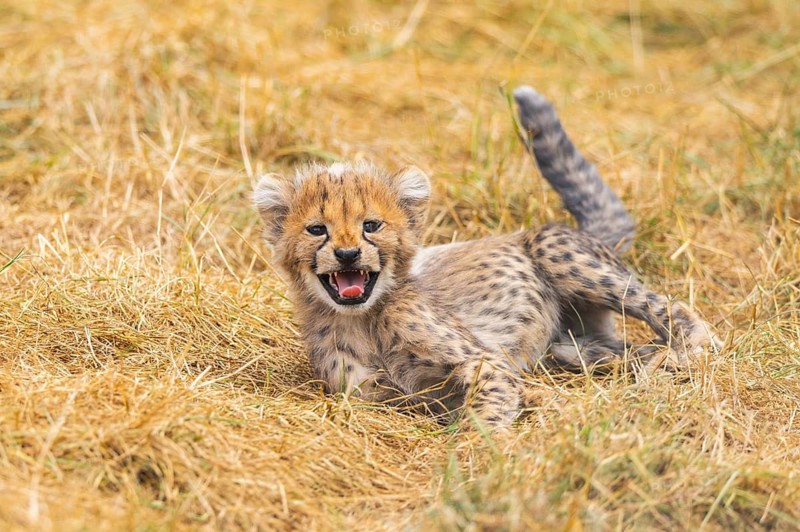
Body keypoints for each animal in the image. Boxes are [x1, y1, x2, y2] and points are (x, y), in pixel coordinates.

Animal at [253, 86, 723, 430]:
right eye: (317, 230)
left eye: (372, 225)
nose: (348, 253)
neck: (363, 319)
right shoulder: (385, 395)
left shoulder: (485, 363)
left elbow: (486, 411)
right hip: (571, 342)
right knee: (613, 348)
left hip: (554, 250)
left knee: (674, 309)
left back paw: (686, 352)